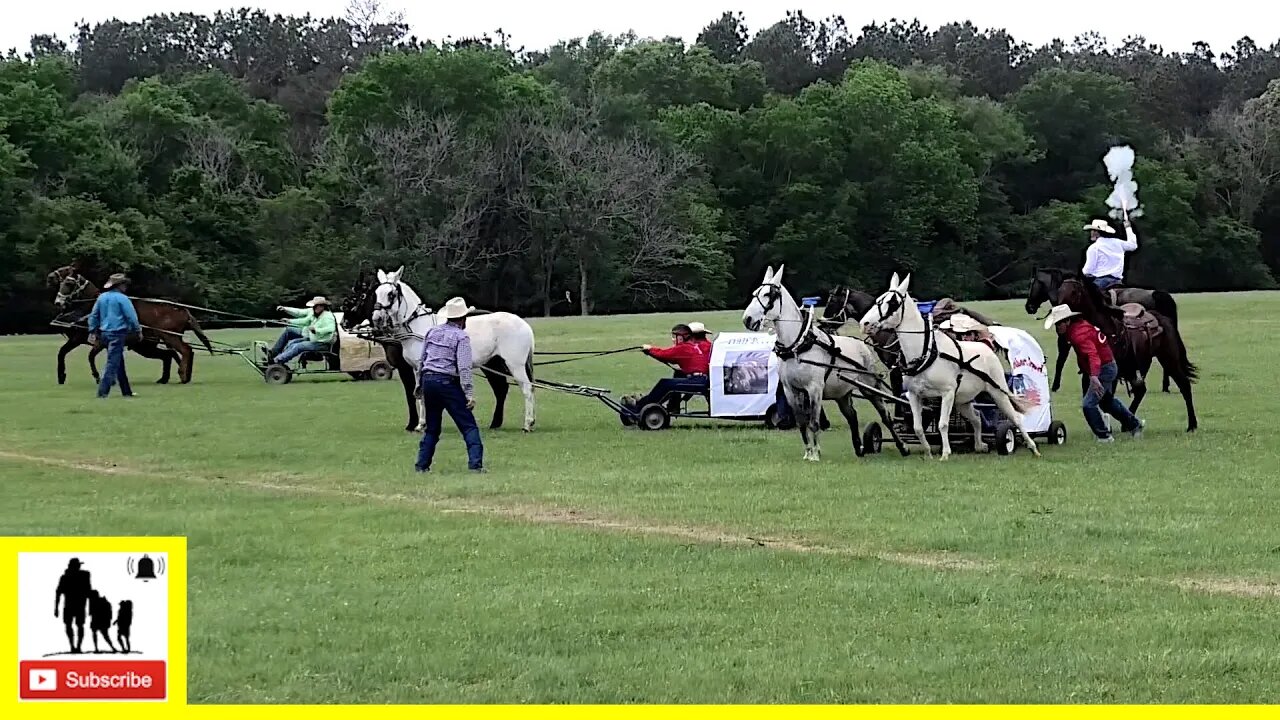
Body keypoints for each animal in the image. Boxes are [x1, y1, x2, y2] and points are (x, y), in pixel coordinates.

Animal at [49, 263, 215, 384]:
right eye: (62, 282)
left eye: (69, 283)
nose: (58, 302)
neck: (90, 306)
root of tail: (182, 309)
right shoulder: (77, 339)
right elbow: (61, 352)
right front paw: (61, 376)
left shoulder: (99, 342)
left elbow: (90, 356)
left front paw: (97, 377)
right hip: (147, 345)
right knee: (169, 355)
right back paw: (169, 377)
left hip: (169, 336)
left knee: (186, 350)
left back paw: (183, 375)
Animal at [343, 266, 517, 427]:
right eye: (376, 294)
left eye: (357, 297)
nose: (343, 323)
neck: (414, 327)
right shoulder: (413, 367)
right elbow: (417, 393)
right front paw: (420, 422)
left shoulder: (408, 367)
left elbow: (414, 394)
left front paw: (416, 423)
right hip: (491, 363)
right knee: (501, 388)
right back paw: (496, 423)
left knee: (502, 388)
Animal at [742, 263, 911, 458]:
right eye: (755, 292)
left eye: (768, 294)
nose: (747, 319)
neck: (798, 346)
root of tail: (861, 345)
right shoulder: (791, 390)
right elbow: (801, 422)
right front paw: (808, 453)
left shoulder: (814, 389)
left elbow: (814, 422)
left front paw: (815, 455)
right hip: (841, 393)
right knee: (852, 416)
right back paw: (859, 447)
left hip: (870, 388)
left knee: (886, 417)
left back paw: (902, 447)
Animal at [860, 269, 1039, 458]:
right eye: (878, 299)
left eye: (892, 302)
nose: (864, 323)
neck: (926, 353)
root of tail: (986, 348)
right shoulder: (915, 395)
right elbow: (917, 428)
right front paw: (929, 453)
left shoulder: (947, 394)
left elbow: (942, 424)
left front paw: (945, 454)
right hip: (963, 401)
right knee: (976, 417)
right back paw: (979, 445)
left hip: (997, 393)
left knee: (1015, 418)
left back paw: (1031, 447)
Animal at [1029, 266, 1177, 392]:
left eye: (1034, 283)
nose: (1028, 306)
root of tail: (1158, 294)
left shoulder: (1064, 338)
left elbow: (1061, 360)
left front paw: (1055, 386)